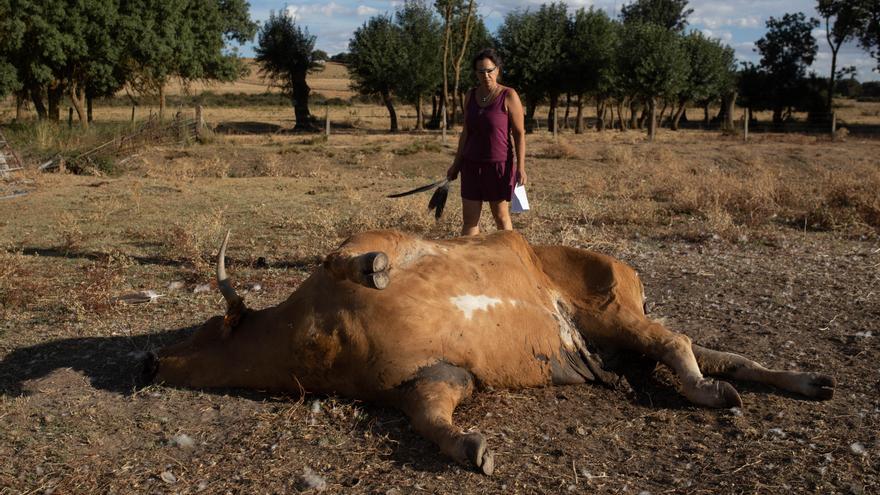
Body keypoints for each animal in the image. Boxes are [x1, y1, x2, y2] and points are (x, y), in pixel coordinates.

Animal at [148, 231, 836, 474]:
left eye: (213, 326)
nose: (153, 361)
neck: (317, 336)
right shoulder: (433, 378)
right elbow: (433, 421)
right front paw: (472, 449)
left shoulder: (361, 247)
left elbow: (347, 256)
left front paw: (374, 268)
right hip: (614, 344)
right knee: (713, 354)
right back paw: (804, 383)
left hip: (611, 312)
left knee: (677, 341)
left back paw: (712, 392)